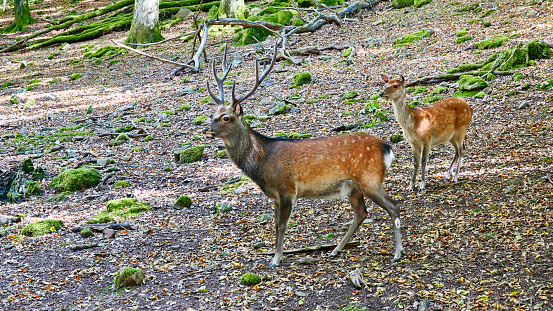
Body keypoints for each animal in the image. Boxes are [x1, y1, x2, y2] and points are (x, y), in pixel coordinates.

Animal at [203, 41, 402, 270]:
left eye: (226, 118)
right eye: (213, 114)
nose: (205, 130)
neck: (263, 165)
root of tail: (386, 148)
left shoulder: (287, 189)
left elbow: (281, 225)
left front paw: (276, 259)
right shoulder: (275, 195)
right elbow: (275, 223)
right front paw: (276, 256)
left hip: (370, 179)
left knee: (393, 207)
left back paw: (397, 253)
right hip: (353, 186)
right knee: (361, 213)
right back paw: (335, 250)